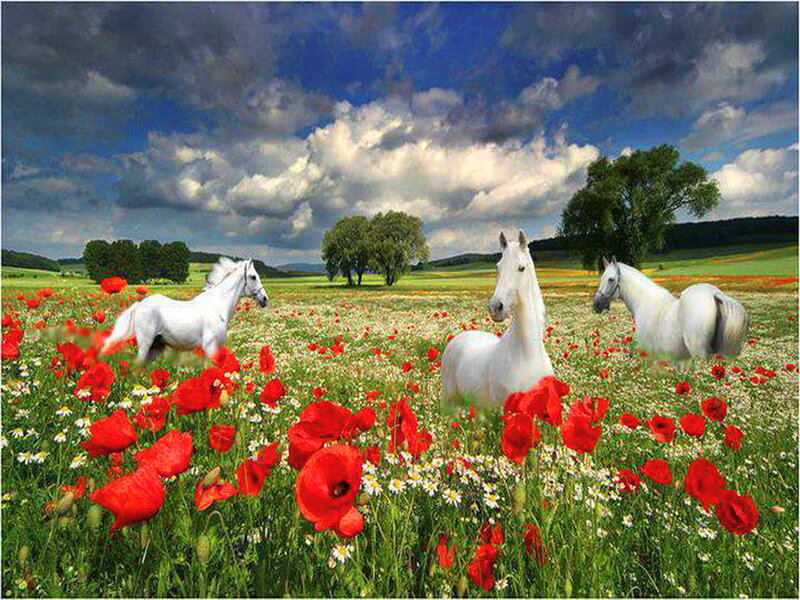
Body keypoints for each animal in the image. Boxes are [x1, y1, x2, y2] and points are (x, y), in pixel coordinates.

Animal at [101, 258, 269, 363]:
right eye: (253, 276)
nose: (264, 299)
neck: (218, 307)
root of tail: (140, 305)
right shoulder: (210, 346)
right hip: (145, 344)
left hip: (156, 347)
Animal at [441, 230, 553, 407]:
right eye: (498, 267)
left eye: (521, 268)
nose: (495, 307)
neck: (528, 355)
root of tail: (457, 338)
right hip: (450, 402)